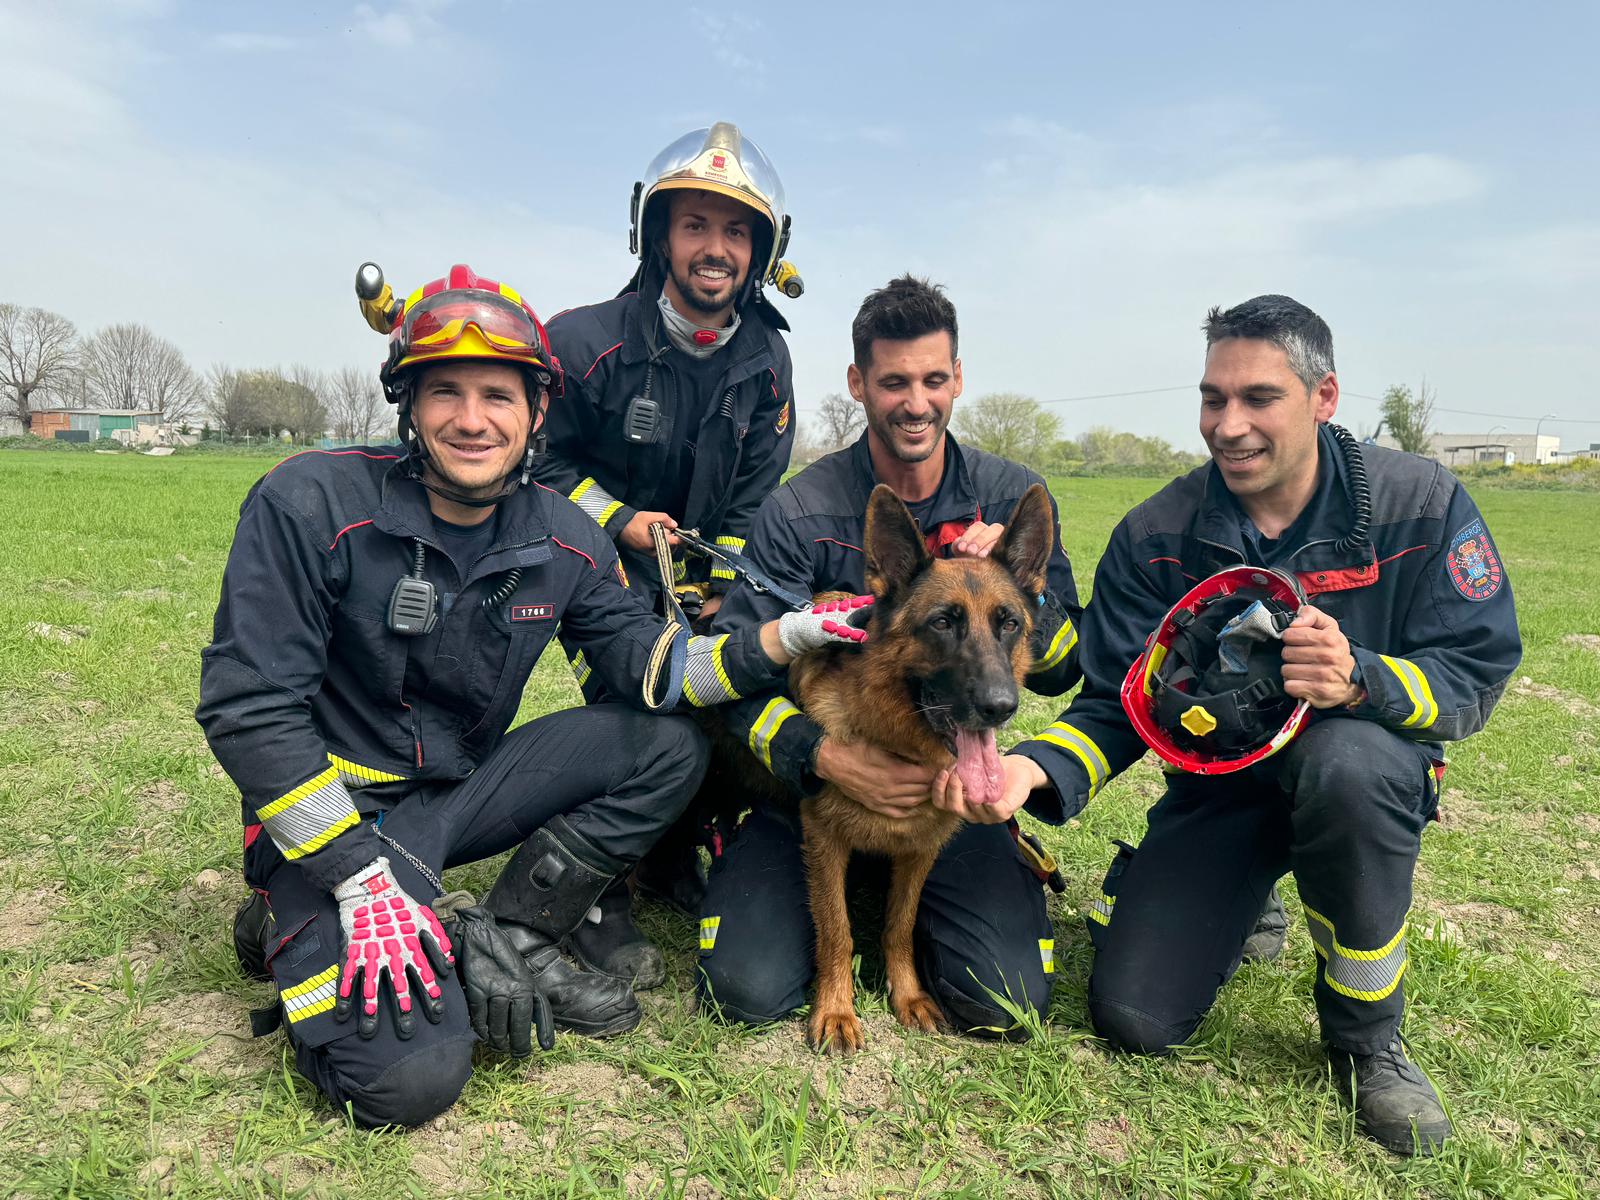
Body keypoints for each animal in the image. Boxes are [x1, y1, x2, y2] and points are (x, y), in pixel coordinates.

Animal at [755, 480, 1056, 1049]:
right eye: (942, 623)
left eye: (1008, 624)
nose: (1001, 706)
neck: (894, 740)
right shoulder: (825, 845)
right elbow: (837, 929)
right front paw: (836, 1009)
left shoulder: (920, 849)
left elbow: (900, 924)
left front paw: (909, 996)